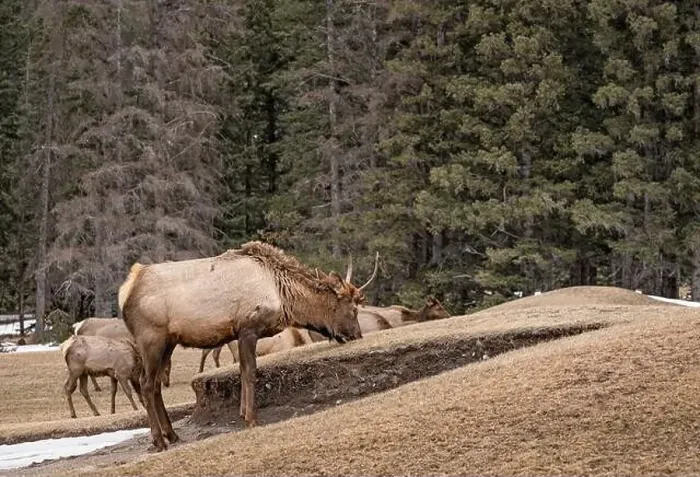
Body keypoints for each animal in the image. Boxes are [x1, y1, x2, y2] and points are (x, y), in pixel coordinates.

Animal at [118, 241, 378, 451]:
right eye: (353, 309)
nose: (357, 335)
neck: (284, 296)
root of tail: (126, 292)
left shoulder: (240, 334)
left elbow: (242, 372)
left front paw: (243, 412)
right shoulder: (248, 329)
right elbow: (250, 372)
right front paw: (252, 419)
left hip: (168, 343)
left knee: (157, 385)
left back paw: (172, 434)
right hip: (151, 340)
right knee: (146, 384)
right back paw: (159, 441)